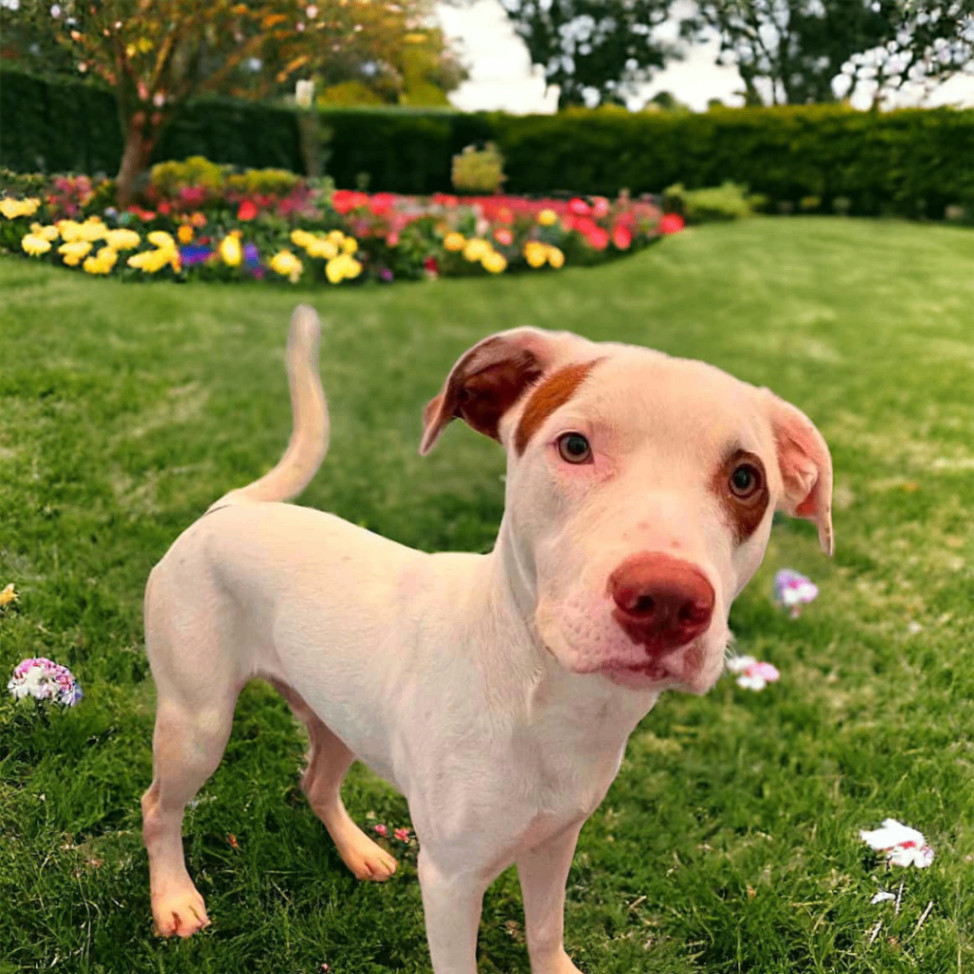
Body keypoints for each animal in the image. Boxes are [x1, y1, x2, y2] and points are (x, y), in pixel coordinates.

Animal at [141, 304, 836, 968]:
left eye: (746, 479)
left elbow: (546, 930)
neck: (553, 701)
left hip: (337, 714)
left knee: (315, 782)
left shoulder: (557, 839)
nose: (667, 599)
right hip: (196, 725)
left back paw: (358, 851)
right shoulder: (450, 881)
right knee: (158, 806)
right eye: (574, 446)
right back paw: (173, 899)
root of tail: (230, 508)